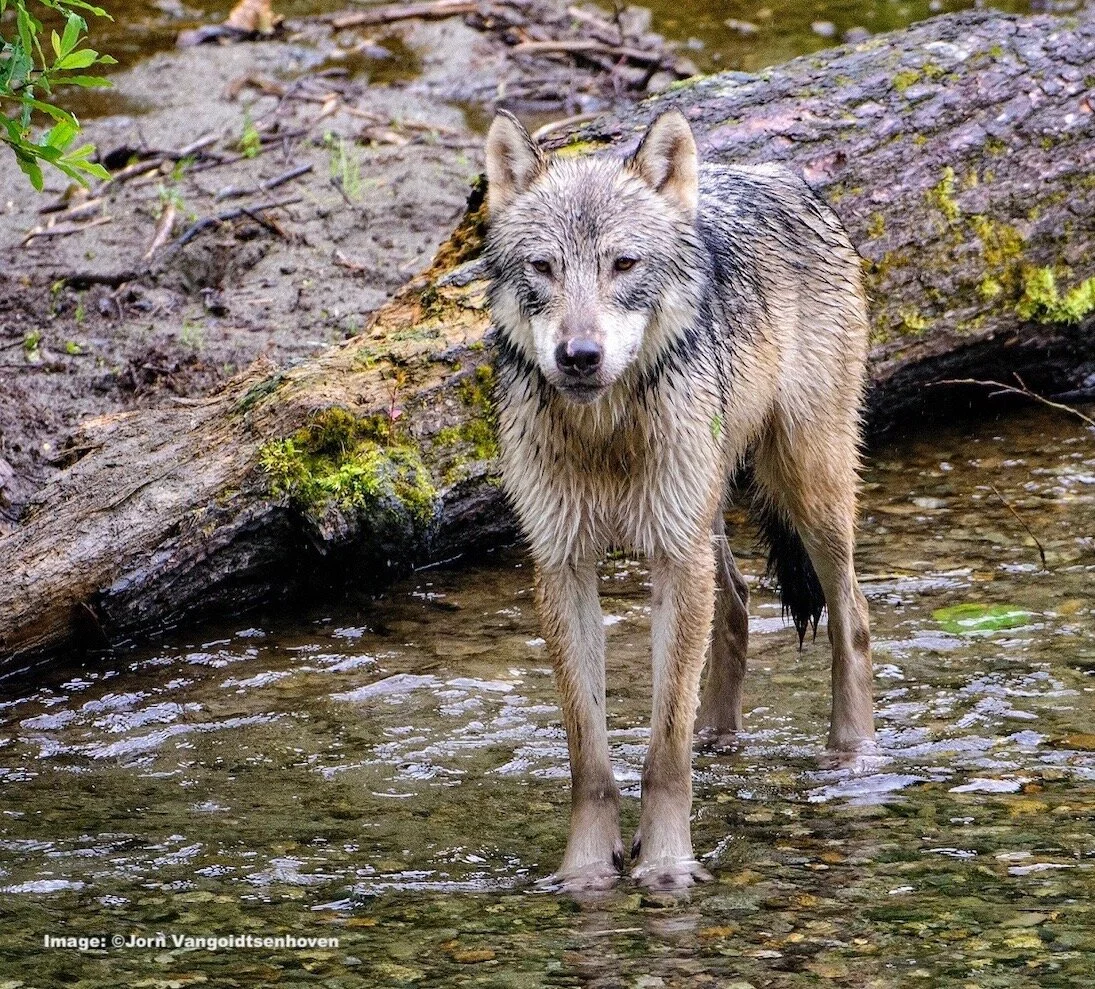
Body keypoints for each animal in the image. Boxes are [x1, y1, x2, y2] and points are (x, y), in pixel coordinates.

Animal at [483, 108, 874, 891]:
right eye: (544, 268)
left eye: (624, 264)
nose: (579, 356)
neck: (606, 432)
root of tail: (779, 173)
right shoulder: (563, 565)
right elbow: (590, 753)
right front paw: (584, 873)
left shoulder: (669, 553)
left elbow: (664, 753)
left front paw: (665, 866)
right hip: (707, 514)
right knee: (737, 606)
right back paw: (720, 736)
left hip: (803, 487)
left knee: (853, 613)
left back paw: (851, 756)